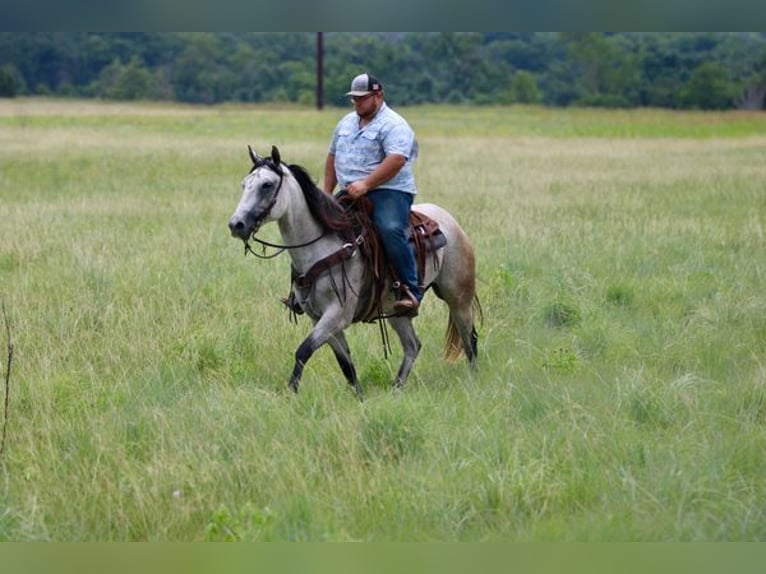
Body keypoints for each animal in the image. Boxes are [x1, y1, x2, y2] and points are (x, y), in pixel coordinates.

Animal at [228, 145, 479, 398]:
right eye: (244, 184)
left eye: (267, 185)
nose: (236, 224)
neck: (322, 248)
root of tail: (449, 220)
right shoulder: (319, 318)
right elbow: (345, 363)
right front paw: (360, 397)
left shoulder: (337, 315)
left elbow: (303, 350)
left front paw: (291, 392)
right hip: (395, 310)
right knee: (413, 345)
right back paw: (396, 388)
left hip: (458, 298)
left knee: (469, 338)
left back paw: (472, 378)